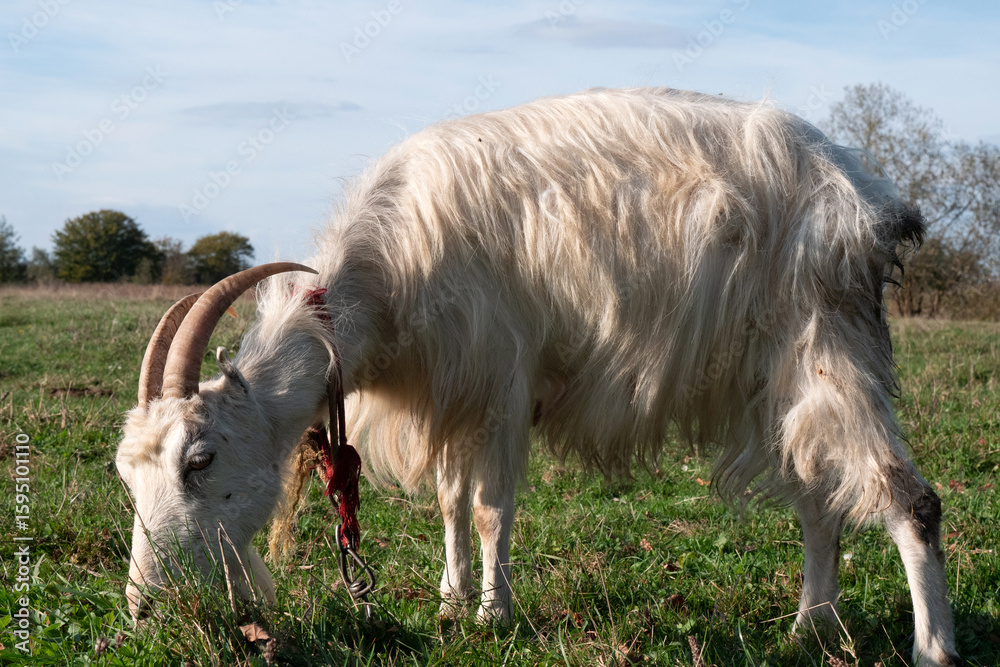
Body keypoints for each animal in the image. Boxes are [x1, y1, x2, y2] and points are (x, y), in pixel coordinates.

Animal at [115, 87, 962, 666]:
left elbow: (492, 509)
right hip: (778, 378)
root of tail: (868, 201)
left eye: (201, 458)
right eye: (127, 474)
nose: (144, 608)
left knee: (907, 497)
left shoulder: (500, 379)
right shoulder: (451, 392)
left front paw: (494, 614)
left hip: (825, 348)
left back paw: (931, 647)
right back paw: (809, 628)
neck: (386, 273)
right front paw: (452, 598)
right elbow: (451, 502)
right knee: (822, 499)